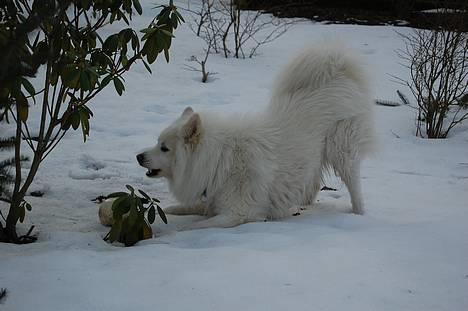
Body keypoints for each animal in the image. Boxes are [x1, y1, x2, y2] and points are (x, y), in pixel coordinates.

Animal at [136, 43, 376, 229]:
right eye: (157, 143)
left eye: (164, 148)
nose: (138, 156)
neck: (218, 160)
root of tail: (337, 71)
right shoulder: (212, 199)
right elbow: (184, 208)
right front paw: (170, 210)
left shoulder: (238, 213)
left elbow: (195, 226)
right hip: (313, 157)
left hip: (342, 152)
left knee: (354, 186)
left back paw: (358, 213)